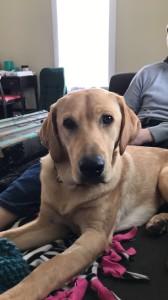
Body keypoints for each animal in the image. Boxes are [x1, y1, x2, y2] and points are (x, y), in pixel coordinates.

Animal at [0, 88, 168, 298]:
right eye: (68, 123)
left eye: (107, 118)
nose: (92, 167)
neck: (70, 188)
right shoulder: (49, 224)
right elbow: (9, 234)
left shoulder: (95, 235)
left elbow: (52, 266)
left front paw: (14, 294)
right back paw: (158, 221)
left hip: (164, 176)